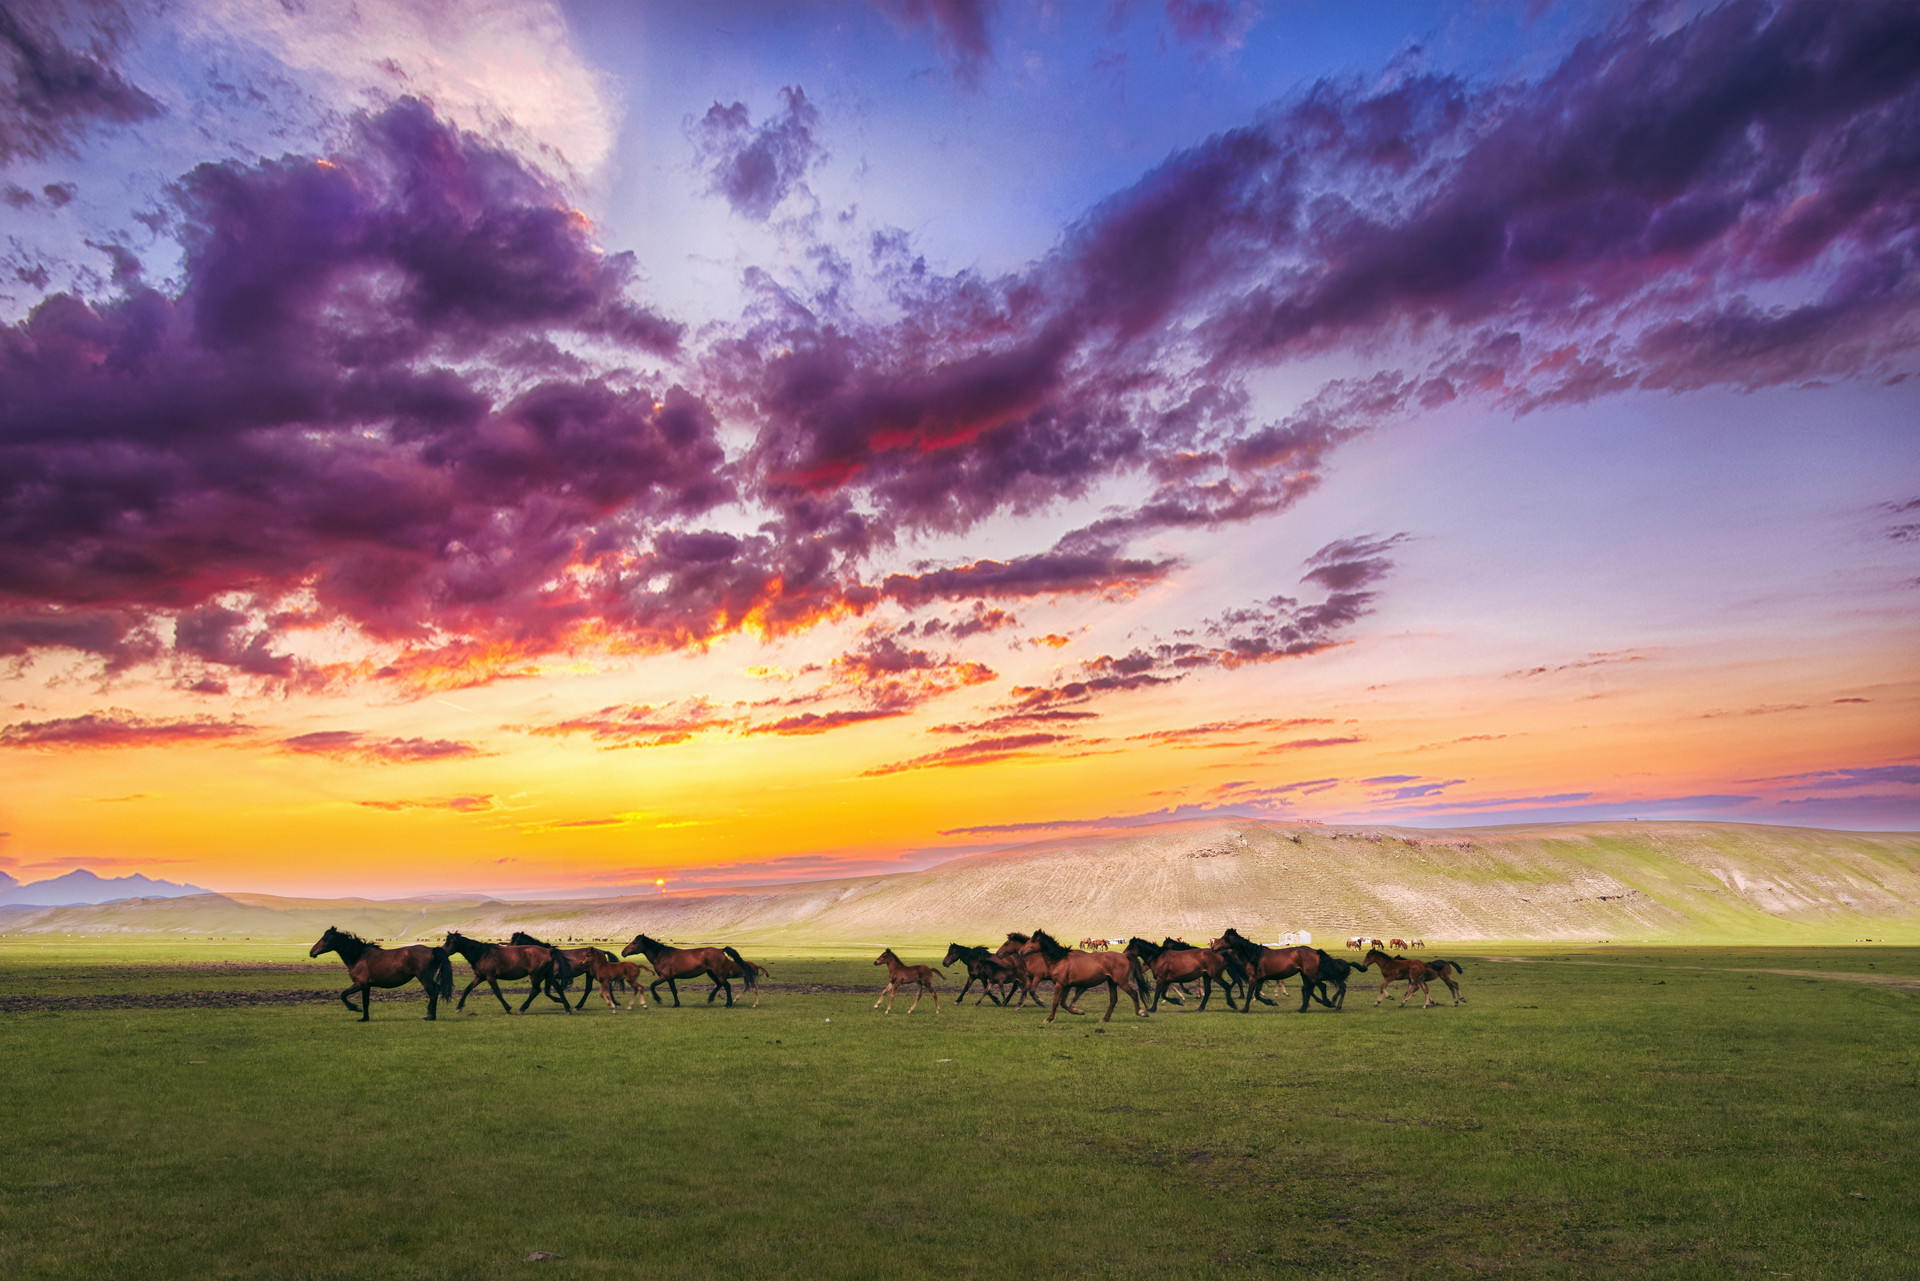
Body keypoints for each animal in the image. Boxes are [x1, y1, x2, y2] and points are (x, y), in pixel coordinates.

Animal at [311, 925, 453, 1029]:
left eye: (326, 938)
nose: (311, 952)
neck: (358, 956)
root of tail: (432, 950)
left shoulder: (361, 984)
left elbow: (346, 996)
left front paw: (357, 1011)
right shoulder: (366, 986)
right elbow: (362, 1001)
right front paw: (364, 1016)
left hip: (424, 978)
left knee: (433, 993)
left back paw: (430, 1016)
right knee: (436, 990)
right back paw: (431, 1016)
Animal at [622, 937, 756, 1006]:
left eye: (635, 942)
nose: (623, 952)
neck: (661, 955)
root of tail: (720, 950)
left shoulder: (664, 976)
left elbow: (652, 985)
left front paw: (658, 999)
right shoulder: (670, 978)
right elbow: (674, 990)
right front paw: (676, 1004)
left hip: (718, 974)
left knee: (726, 986)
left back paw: (728, 1003)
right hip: (711, 973)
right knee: (719, 985)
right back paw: (710, 999)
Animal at [1013, 925, 1144, 1029]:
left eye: (1032, 941)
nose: (1021, 952)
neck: (1059, 959)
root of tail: (1124, 956)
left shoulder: (1060, 985)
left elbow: (1056, 1002)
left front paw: (1049, 1019)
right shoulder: (1066, 986)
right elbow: (1063, 1003)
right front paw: (1079, 1012)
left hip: (1121, 981)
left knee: (1133, 993)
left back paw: (1141, 1012)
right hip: (1112, 982)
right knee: (1113, 1000)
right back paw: (1105, 1019)